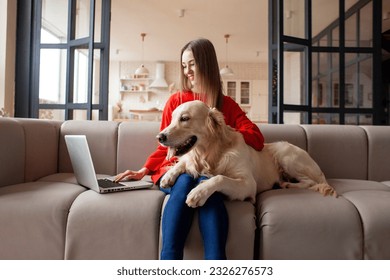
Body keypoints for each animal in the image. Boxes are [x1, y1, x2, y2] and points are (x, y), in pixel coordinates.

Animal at [157, 99, 336, 207]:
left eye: (185, 118)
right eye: (172, 119)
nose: (159, 137)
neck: (210, 153)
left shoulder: (248, 184)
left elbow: (220, 177)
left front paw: (199, 192)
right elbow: (183, 162)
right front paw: (168, 176)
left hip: (285, 155)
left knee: (310, 182)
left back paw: (288, 184)